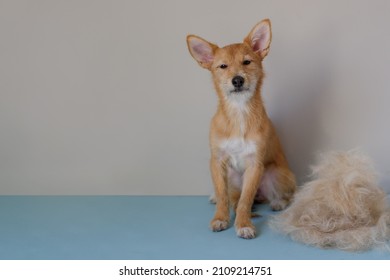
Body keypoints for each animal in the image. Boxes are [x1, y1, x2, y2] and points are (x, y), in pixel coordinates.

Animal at [187, 19, 294, 238]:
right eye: (223, 66)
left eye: (247, 62)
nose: (237, 80)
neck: (238, 112)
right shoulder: (217, 161)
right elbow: (223, 196)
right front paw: (220, 217)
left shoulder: (255, 165)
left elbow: (246, 200)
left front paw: (243, 224)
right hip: (232, 176)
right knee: (231, 196)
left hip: (276, 173)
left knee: (287, 194)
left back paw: (278, 202)